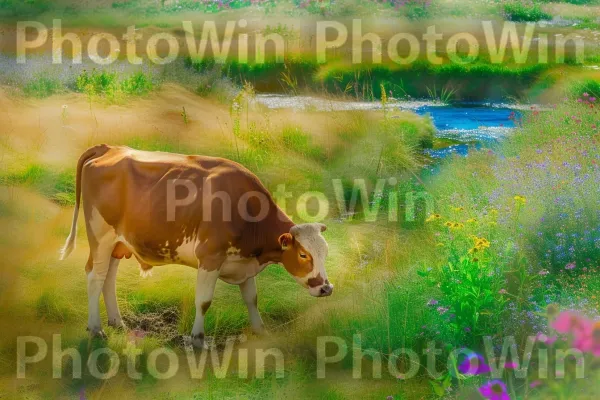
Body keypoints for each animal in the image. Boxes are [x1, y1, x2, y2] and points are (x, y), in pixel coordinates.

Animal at [59, 145, 332, 346]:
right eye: (304, 254)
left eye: (325, 253)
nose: (327, 288)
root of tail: (109, 147)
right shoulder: (210, 258)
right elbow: (203, 301)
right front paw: (198, 339)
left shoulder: (243, 262)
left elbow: (252, 299)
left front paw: (260, 331)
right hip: (100, 236)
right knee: (95, 276)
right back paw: (96, 329)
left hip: (118, 242)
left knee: (109, 277)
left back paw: (117, 322)